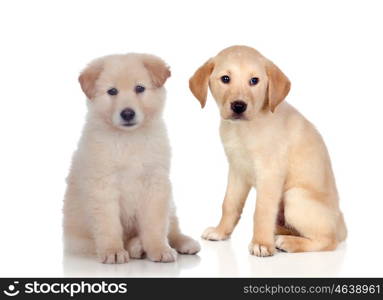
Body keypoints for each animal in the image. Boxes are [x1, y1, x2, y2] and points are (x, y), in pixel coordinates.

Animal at [63, 53, 201, 262]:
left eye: (139, 88)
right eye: (112, 91)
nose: (127, 113)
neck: (129, 139)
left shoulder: (155, 183)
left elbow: (155, 225)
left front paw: (159, 249)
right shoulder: (102, 186)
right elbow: (109, 225)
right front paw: (113, 251)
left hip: (170, 204)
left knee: (173, 229)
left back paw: (184, 243)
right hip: (79, 242)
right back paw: (135, 246)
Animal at [189, 45, 348, 256]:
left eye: (254, 81)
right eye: (225, 79)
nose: (238, 106)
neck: (243, 128)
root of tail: (342, 224)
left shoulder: (270, 173)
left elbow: (261, 211)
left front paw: (261, 243)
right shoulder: (237, 169)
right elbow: (229, 203)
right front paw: (221, 231)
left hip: (295, 197)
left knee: (328, 240)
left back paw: (288, 242)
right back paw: (280, 232)